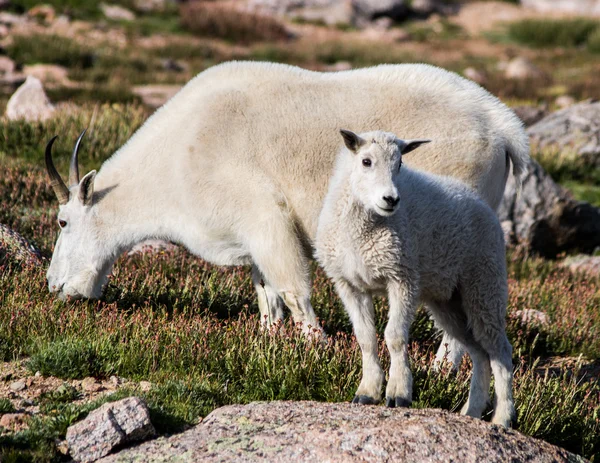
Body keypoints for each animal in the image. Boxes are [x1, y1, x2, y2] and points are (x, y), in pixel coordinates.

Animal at [44, 60, 528, 358]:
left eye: (63, 221)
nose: (54, 286)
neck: (175, 159)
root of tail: (505, 127)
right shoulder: (250, 237)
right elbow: (266, 293)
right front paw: (270, 342)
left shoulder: (265, 216)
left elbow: (294, 288)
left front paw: (317, 347)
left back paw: (442, 368)